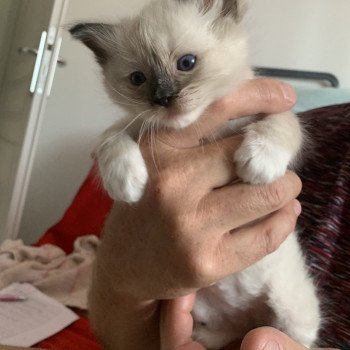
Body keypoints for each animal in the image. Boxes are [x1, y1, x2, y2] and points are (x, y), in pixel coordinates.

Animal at [70, 1, 320, 348]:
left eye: (186, 63)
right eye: (138, 78)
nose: (162, 99)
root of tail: (245, 315)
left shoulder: (272, 115)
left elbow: (281, 124)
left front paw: (259, 161)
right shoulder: (135, 127)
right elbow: (111, 137)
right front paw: (126, 184)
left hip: (293, 316)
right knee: (230, 331)